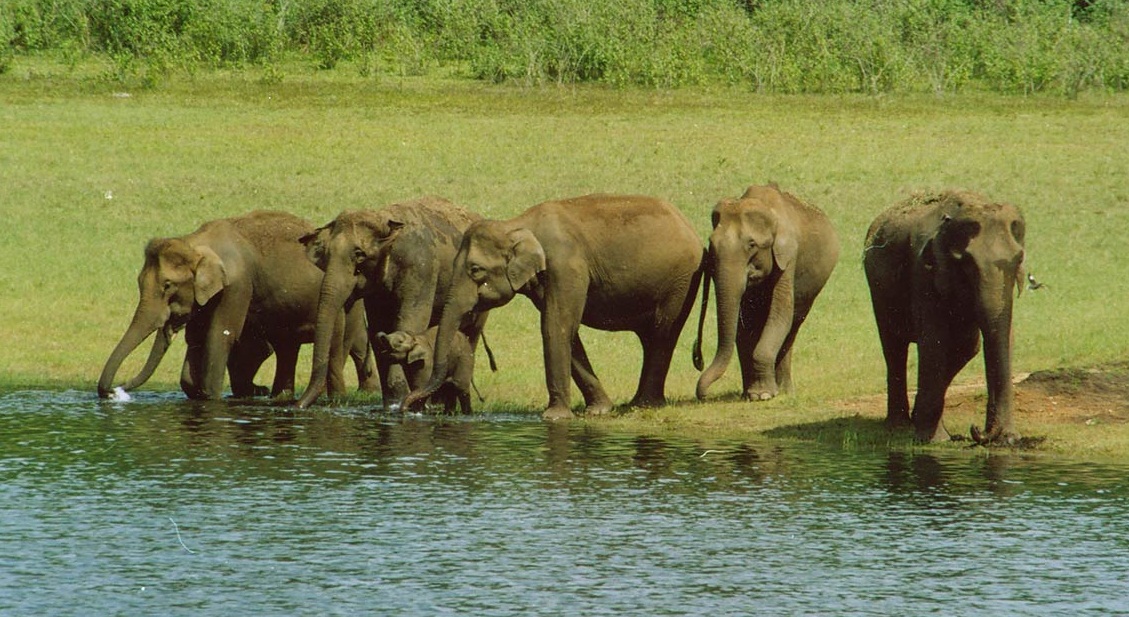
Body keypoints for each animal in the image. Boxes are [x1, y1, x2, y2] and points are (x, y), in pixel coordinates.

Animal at [98, 210, 378, 401]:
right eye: (138, 282)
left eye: (167, 286)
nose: (114, 391)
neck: (196, 242)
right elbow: (197, 339)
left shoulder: (236, 285)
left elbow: (220, 336)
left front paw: (212, 397)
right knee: (287, 347)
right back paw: (278, 397)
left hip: (347, 303)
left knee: (343, 344)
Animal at [294, 196, 485, 410]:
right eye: (326, 254)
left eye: (359, 254)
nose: (297, 405)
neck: (383, 217)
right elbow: (378, 327)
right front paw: (392, 405)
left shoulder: (421, 268)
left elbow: (409, 321)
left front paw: (398, 404)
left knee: (470, 333)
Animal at [402, 193, 704, 421]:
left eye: (476, 270)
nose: (405, 408)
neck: (517, 224)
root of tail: (689, 226)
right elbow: (567, 331)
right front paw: (599, 410)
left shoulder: (566, 265)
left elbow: (554, 325)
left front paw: (554, 417)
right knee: (652, 337)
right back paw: (635, 404)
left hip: (680, 281)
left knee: (662, 333)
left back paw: (644, 405)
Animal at [693, 184, 840, 401]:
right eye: (711, 243)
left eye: (752, 244)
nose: (704, 396)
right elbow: (744, 325)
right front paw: (751, 394)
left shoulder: (788, 257)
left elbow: (780, 315)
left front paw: (762, 395)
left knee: (792, 326)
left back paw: (784, 391)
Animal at [863, 190, 1026, 444]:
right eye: (967, 264)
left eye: (1019, 260)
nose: (978, 431)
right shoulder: (923, 271)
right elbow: (934, 341)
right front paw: (934, 440)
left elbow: (998, 338)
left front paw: (1009, 440)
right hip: (879, 290)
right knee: (893, 346)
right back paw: (898, 425)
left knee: (968, 345)